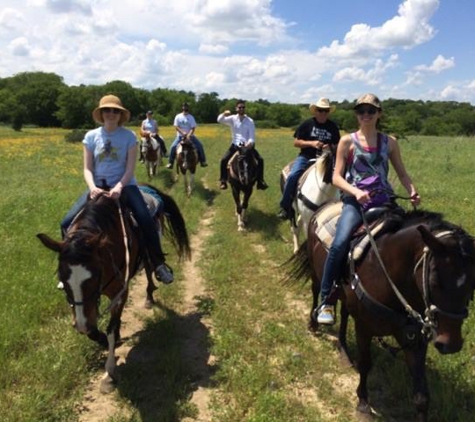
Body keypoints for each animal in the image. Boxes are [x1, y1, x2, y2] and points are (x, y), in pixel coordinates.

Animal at [36, 186, 191, 394]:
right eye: (63, 279)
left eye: (93, 278)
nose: (81, 325)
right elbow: (95, 330)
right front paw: (102, 338)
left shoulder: (120, 292)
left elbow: (111, 327)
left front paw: (109, 373)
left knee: (150, 268)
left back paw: (150, 296)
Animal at [286, 209, 475, 420]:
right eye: (435, 278)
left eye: (472, 283)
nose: (450, 344)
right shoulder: (364, 327)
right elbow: (365, 363)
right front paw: (363, 403)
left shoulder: (414, 338)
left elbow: (422, 393)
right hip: (316, 272)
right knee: (316, 290)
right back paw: (314, 323)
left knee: (344, 313)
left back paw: (344, 351)